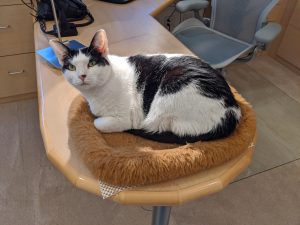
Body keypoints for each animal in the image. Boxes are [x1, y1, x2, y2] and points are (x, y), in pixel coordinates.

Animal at [49, 29, 241, 144]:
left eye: (92, 63)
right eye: (71, 67)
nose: (82, 76)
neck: (95, 95)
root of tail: (232, 109)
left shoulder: (124, 118)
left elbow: (98, 122)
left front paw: (98, 119)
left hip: (167, 95)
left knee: (157, 127)